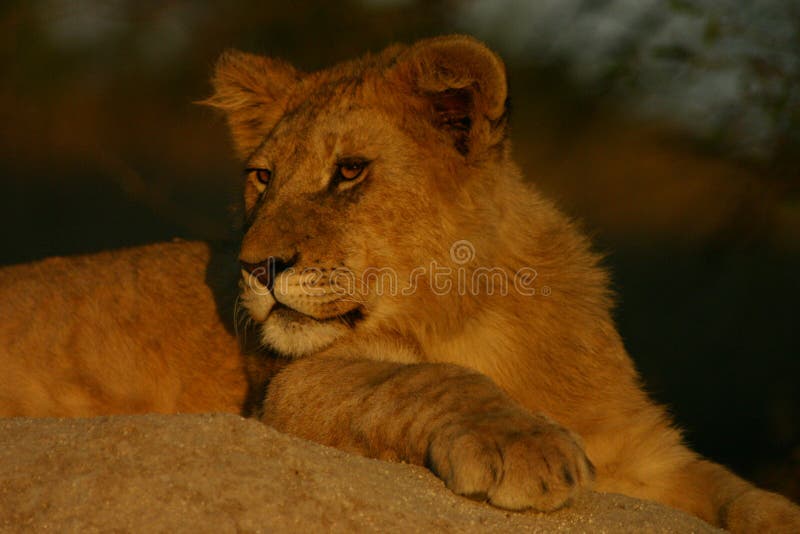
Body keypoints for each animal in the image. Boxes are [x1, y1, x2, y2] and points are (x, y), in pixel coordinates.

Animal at [1, 35, 798, 531]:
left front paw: (775, 511)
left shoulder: (639, 448)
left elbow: (732, 488)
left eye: (350, 171)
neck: (477, 310)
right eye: (262, 177)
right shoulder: (292, 387)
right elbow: (428, 378)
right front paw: (524, 444)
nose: (254, 267)